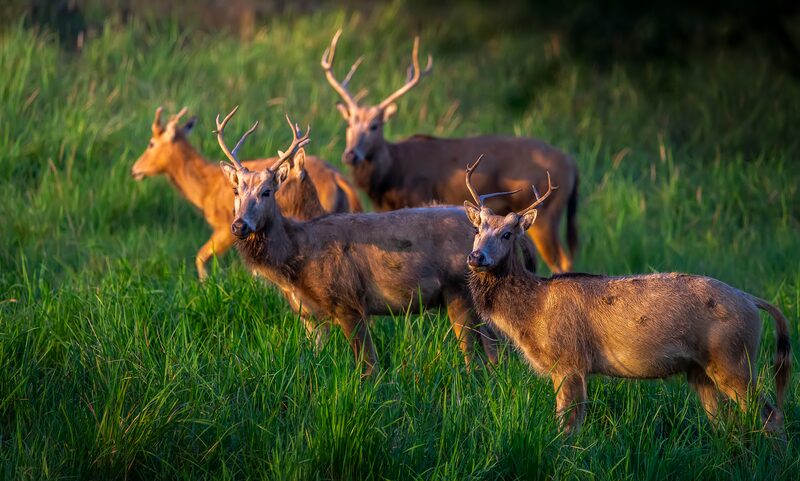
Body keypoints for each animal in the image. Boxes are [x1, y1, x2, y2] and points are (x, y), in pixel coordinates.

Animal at [130, 106, 363, 280]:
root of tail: (339, 177)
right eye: (236, 190)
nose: (134, 170)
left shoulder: (223, 227)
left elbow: (201, 258)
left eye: (151, 143)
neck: (207, 188)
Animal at [214, 107, 540, 375]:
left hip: (458, 290)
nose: (239, 225)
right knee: (494, 353)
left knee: (476, 355)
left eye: (268, 191)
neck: (299, 256)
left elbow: (368, 367)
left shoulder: (348, 299)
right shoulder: (314, 315)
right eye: (236, 190)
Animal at [321, 29, 579, 274]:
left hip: (547, 215)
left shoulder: (419, 198)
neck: (391, 175)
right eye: (348, 124)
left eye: (375, 125)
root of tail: (572, 163)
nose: (350, 154)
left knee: (562, 261)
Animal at [461, 157, 792, 435]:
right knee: (725, 423)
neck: (534, 311)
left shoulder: (570, 360)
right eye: (478, 229)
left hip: (733, 358)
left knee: (771, 416)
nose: (476, 257)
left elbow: (567, 427)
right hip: (701, 371)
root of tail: (752, 301)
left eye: (507, 234)